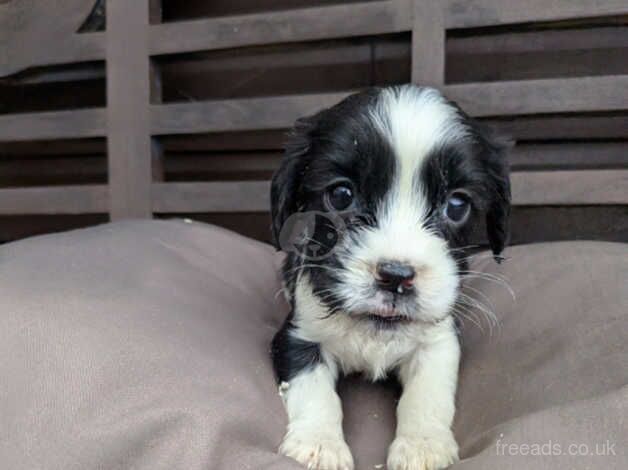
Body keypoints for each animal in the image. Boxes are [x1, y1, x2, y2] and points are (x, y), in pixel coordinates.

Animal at [270, 84, 510, 470]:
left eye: (457, 204)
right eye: (341, 195)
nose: (396, 277)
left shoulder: (439, 341)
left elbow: (427, 392)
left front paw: (423, 445)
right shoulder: (298, 335)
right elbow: (313, 388)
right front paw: (318, 444)